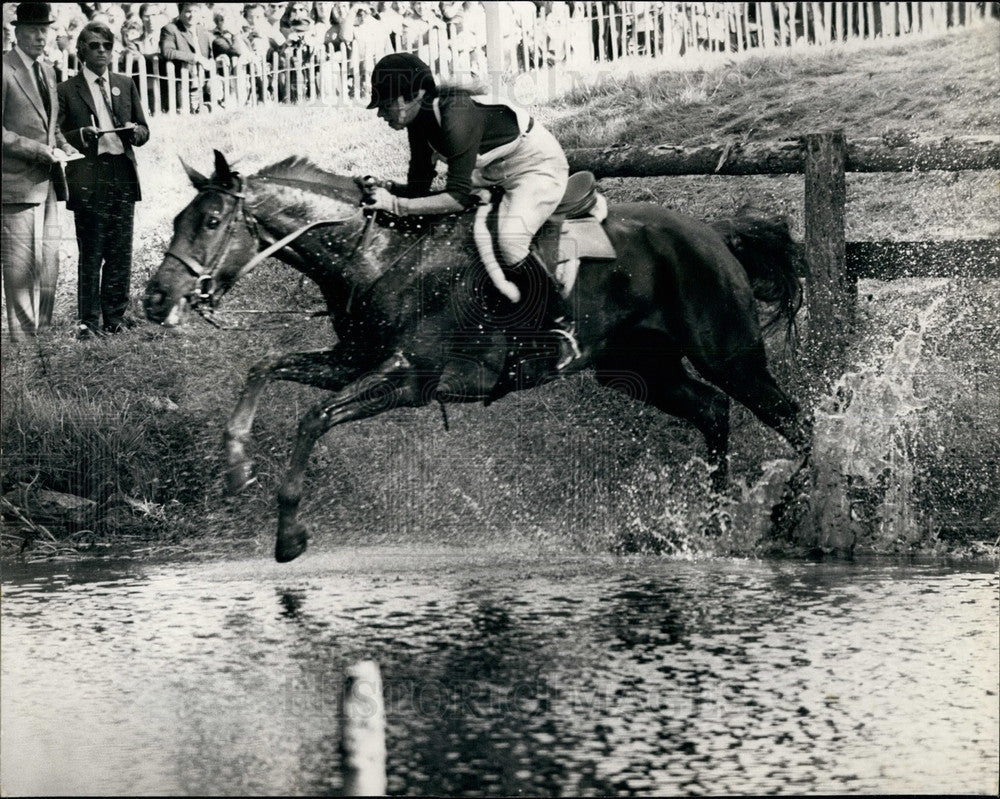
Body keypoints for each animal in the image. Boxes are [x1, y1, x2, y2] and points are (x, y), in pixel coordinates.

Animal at [143, 150, 812, 564]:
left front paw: (288, 536)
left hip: (730, 354)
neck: (378, 257)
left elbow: (313, 419)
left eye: (210, 220)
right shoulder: (351, 362)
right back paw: (713, 523)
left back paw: (784, 515)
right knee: (713, 410)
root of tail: (715, 231)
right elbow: (265, 368)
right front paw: (236, 464)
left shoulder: (408, 379)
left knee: (796, 421)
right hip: (642, 371)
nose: (154, 299)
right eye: (178, 219)